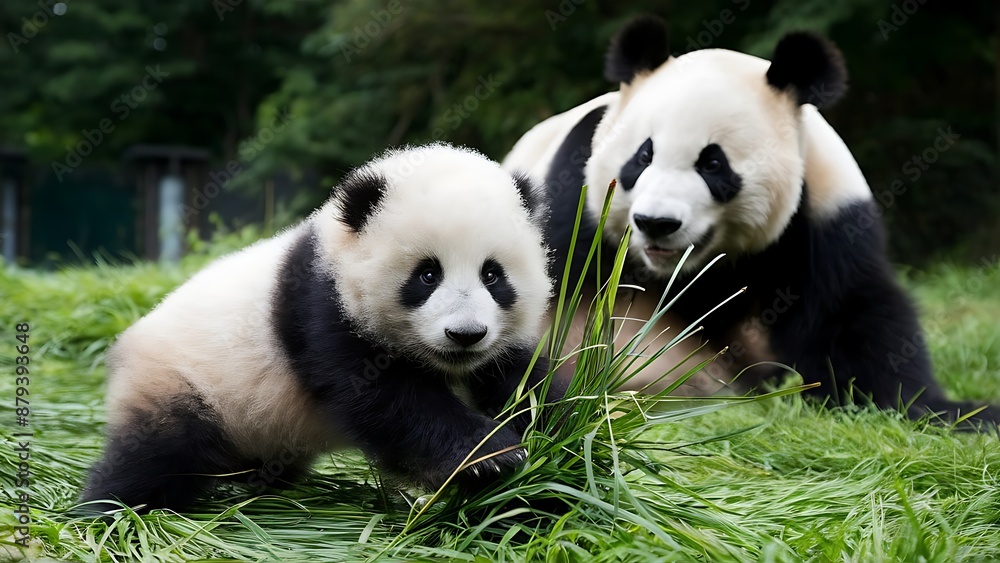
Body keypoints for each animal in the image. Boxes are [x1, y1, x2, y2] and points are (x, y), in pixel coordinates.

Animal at [81, 144, 562, 513]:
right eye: (428, 275)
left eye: (492, 275)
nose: (465, 335)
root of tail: (127, 342)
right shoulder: (320, 306)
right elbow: (387, 400)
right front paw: (490, 457)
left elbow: (523, 380)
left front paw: (554, 444)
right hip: (183, 380)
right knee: (155, 455)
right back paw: (110, 511)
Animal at [504, 15, 998, 424]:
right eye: (642, 157)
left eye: (713, 164)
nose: (656, 223)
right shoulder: (575, 201)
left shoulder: (824, 212)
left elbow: (853, 313)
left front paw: (955, 413)